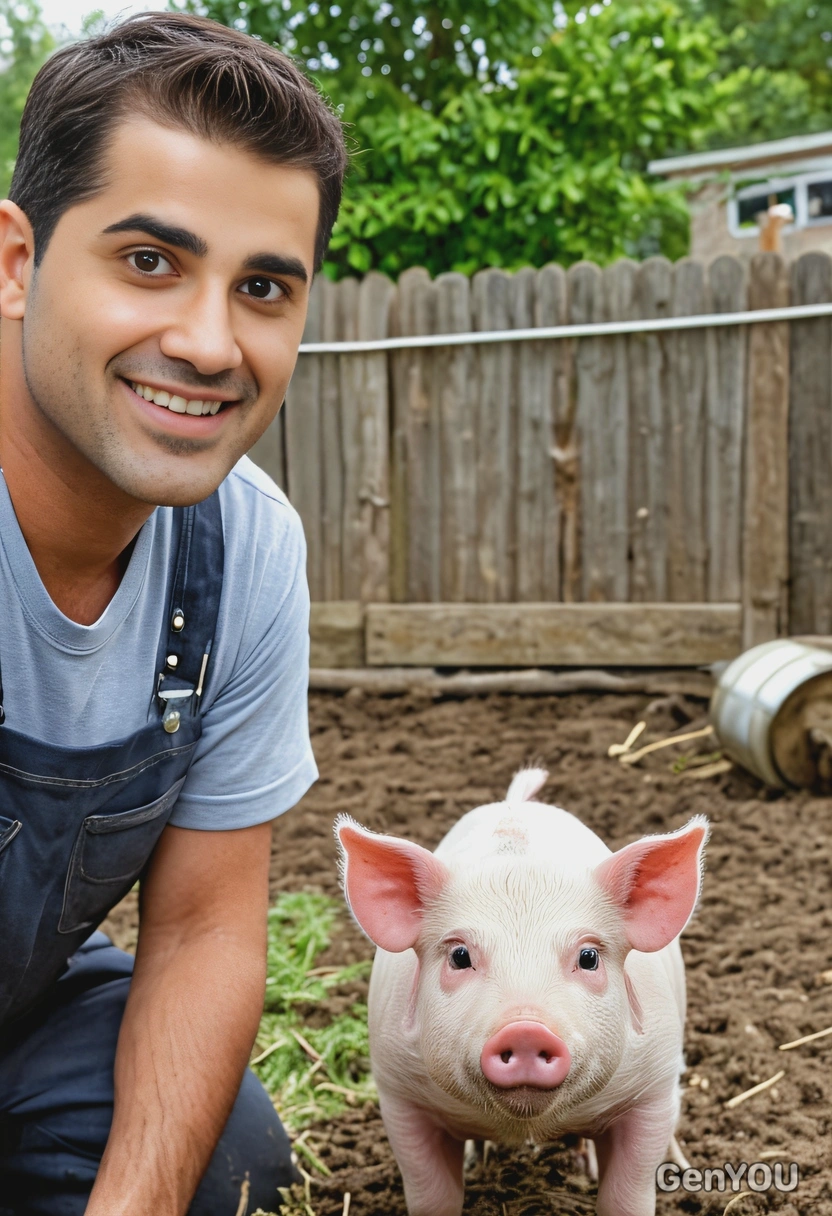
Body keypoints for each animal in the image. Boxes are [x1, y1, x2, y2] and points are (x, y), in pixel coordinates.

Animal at [335, 768, 708, 1216]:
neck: (525, 1124)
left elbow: (627, 1194)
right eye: (460, 956)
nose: (526, 1029)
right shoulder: (400, 1095)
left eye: (588, 957)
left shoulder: (652, 1090)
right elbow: (433, 1194)